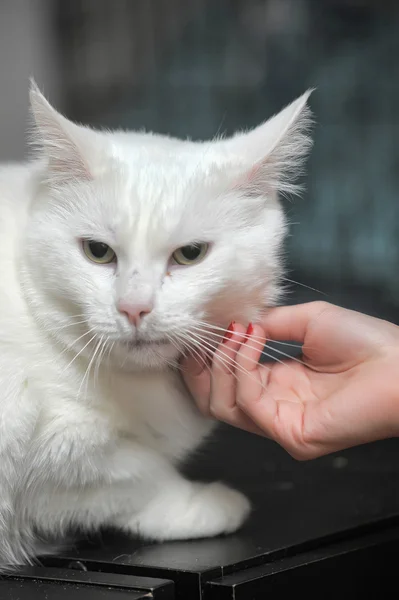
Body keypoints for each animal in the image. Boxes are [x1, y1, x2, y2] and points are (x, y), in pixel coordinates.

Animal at [0, 83, 312, 568]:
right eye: (97, 252)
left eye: (190, 254)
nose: (134, 308)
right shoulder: (50, 445)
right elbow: (133, 476)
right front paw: (198, 505)